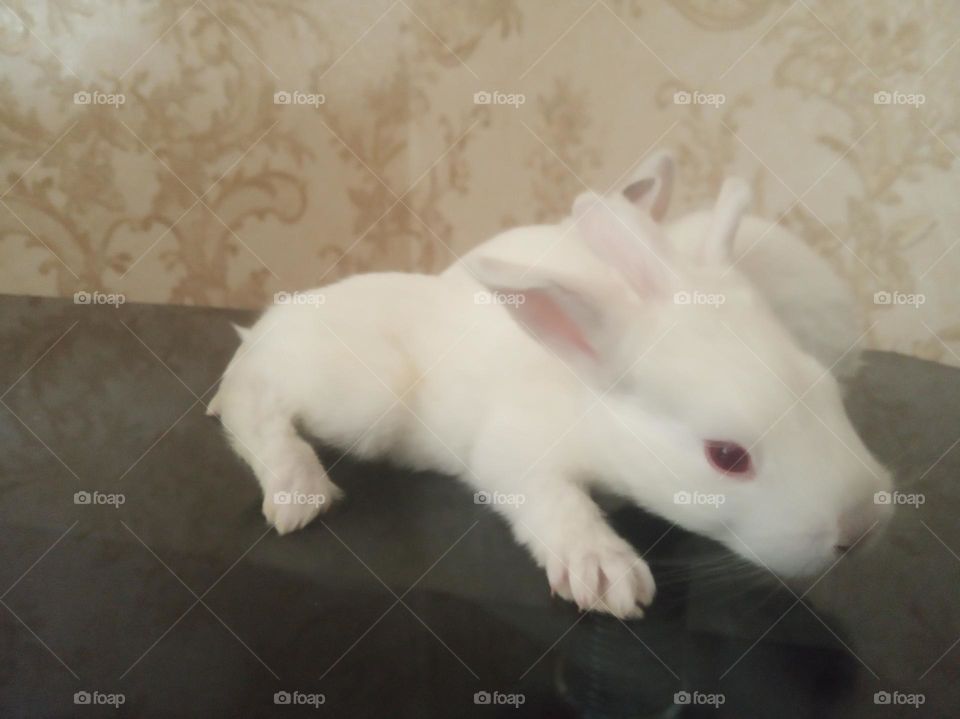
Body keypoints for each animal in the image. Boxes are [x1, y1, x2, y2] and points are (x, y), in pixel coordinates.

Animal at [209, 179, 893, 619]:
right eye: (727, 456)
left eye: (825, 390)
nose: (859, 530)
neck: (591, 401)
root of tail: (274, 323)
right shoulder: (516, 453)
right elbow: (554, 503)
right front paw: (606, 574)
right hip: (361, 400)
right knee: (252, 398)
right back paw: (298, 490)